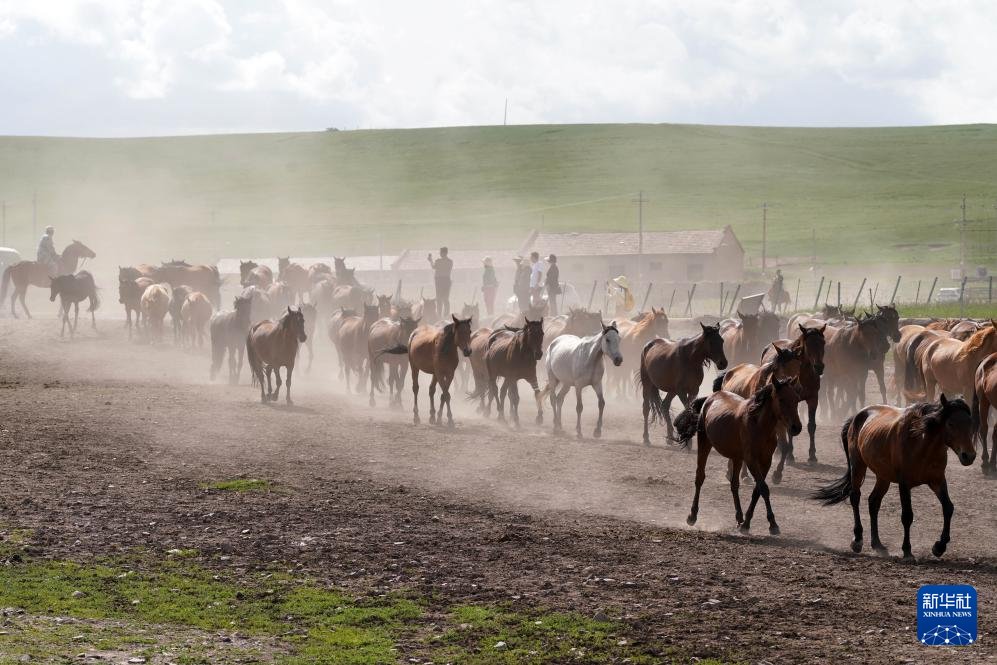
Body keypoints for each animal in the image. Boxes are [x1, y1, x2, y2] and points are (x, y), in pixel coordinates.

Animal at [668, 374, 800, 536]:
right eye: (781, 399)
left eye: (796, 399)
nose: (796, 427)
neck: (758, 425)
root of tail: (711, 397)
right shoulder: (751, 460)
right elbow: (763, 488)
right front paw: (773, 524)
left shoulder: (765, 461)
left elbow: (757, 490)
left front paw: (746, 523)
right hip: (705, 443)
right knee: (700, 477)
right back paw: (692, 516)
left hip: (737, 457)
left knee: (734, 484)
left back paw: (739, 518)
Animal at [812, 394, 976, 560]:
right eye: (951, 423)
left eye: (970, 423)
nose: (969, 456)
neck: (921, 442)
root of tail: (857, 416)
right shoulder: (904, 484)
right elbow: (907, 516)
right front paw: (907, 550)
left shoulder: (937, 480)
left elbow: (948, 508)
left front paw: (939, 546)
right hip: (858, 467)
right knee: (855, 497)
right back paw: (857, 540)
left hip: (883, 477)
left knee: (873, 502)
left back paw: (878, 545)